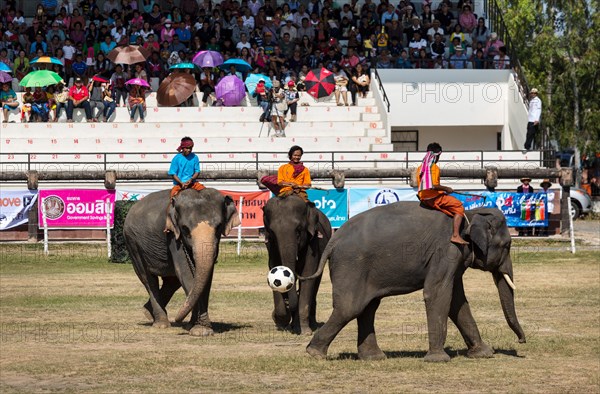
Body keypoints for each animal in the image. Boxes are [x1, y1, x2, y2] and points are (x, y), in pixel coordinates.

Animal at [123, 188, 240, 336]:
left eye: (219, 227)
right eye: (185, 229)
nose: (178, 319)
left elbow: (206, 278)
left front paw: (196, 327)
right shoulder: (173, 236)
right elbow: (186, 274)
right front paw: (201, 330)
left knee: (172, 282)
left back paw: (148, 312)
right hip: (133, 244)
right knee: (148, 280)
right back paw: (161, 324)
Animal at [262, 195, 332, 334]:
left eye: (299, 230)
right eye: (272, 232)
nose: (288, 303)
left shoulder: (313, 243)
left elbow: (308, 274)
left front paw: (306, 332)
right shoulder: (271, 247)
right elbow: (273, 267)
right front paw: (282, 320)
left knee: (315, 283)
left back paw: (311, 325)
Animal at [300, 205, 524, 362]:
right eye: (507, 245)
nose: (522, 342)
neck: (469, 213)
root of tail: (333, 240)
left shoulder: (456, 258)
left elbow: (456, 301)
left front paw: (484, 354)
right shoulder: (446, 251)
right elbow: (437, 293)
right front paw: (439, 359)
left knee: (367, 307)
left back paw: (373, 358)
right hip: (351, 265)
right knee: (350, 308)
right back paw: (314, 353)